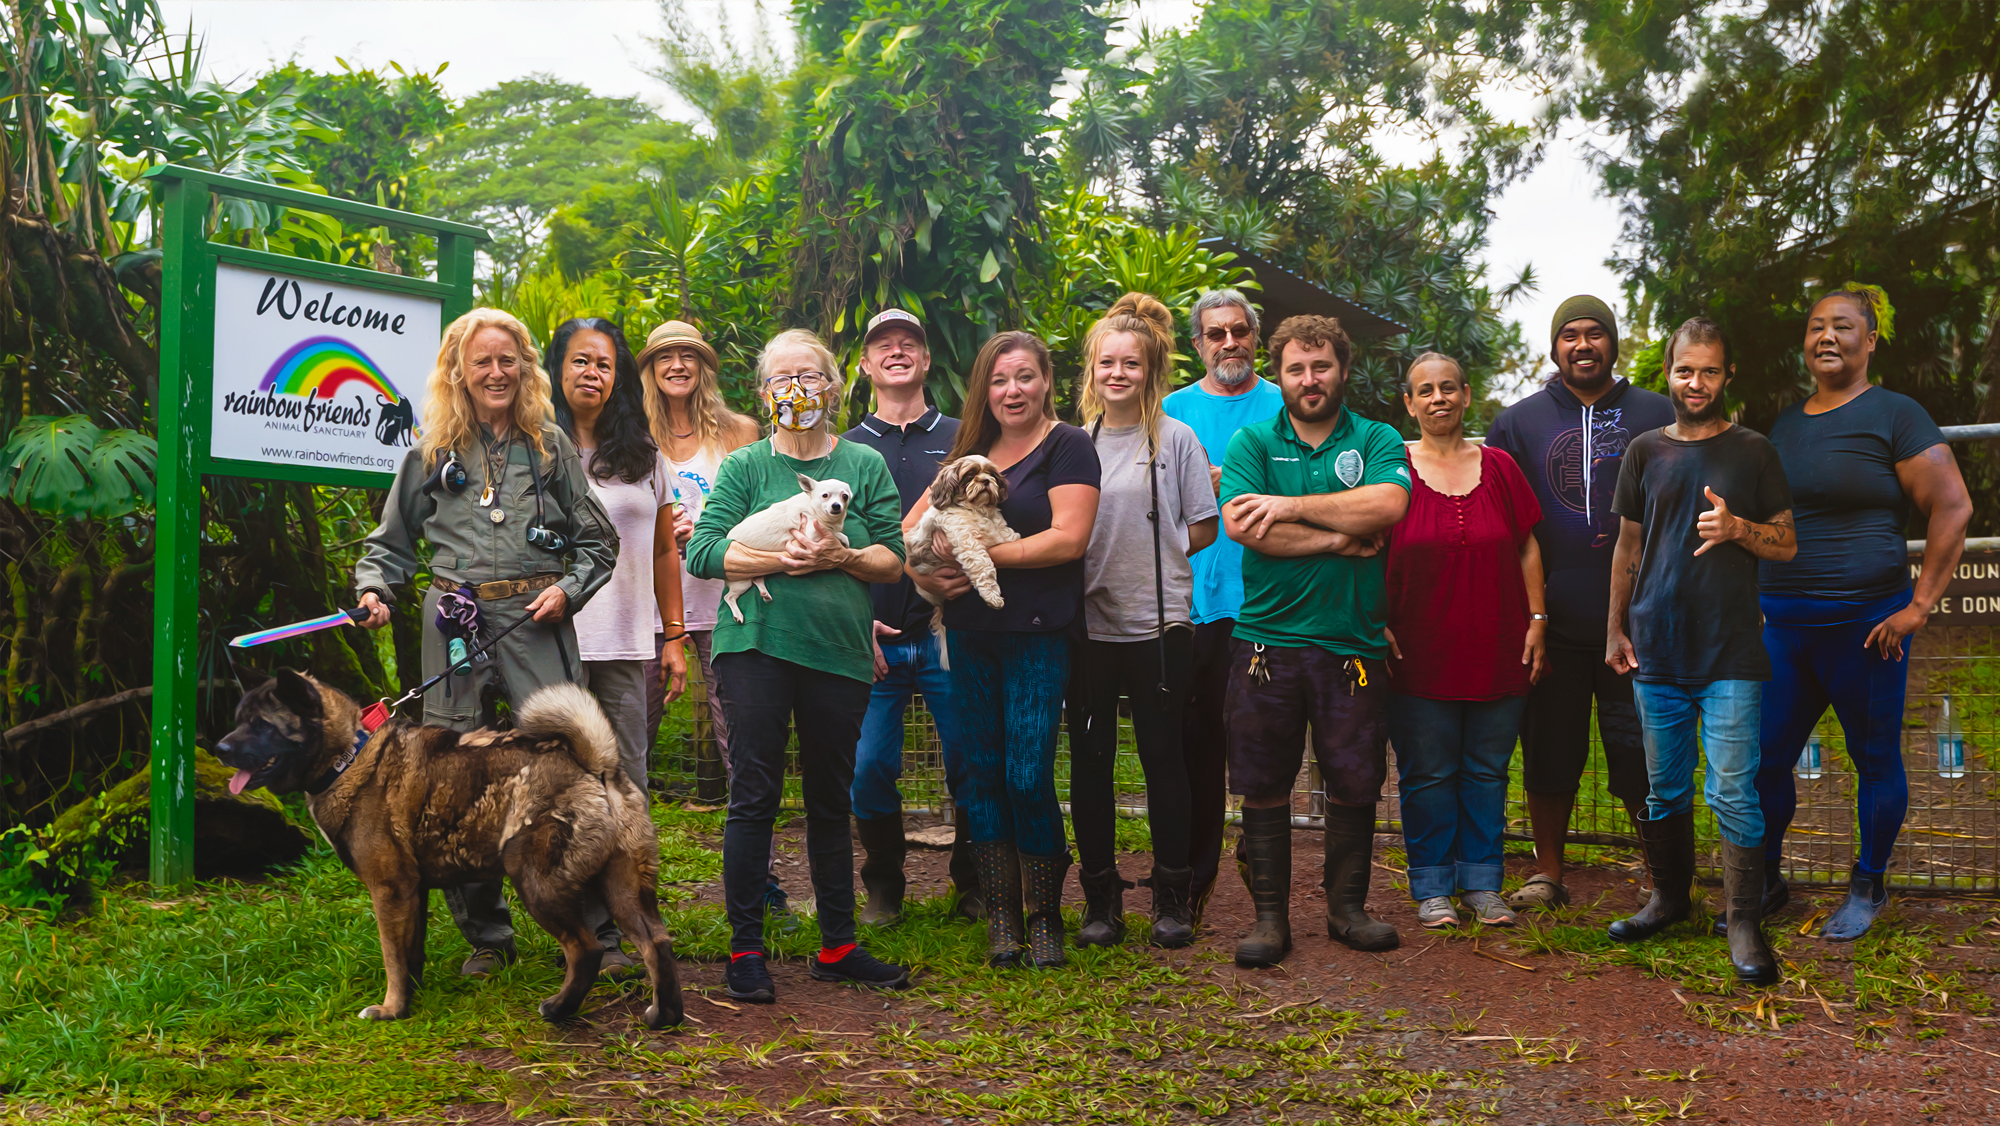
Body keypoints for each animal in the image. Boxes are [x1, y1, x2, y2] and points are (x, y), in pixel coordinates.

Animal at [216, 668, 688, 1032]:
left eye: (262, 725)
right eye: (238, 720)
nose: (220, 748)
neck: (348, 756)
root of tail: (596, 764)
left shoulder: (388, 890)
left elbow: (391, 955)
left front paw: (390, 1008)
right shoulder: (412, 893)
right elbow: (409, 953)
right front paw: (409, 998)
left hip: (538, 883)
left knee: (585, 949)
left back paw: (558, 1008)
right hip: (622, 886)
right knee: (656, 942)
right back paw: (664, 1015)